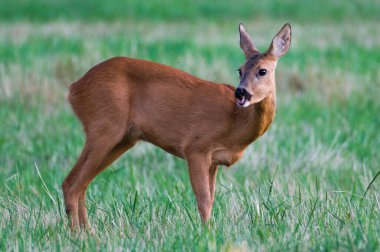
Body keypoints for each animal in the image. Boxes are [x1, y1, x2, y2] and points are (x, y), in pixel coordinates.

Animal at [63, 22, 292, 229]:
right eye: (240, 70)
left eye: (262, 71)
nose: (240, 92)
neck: (234, 122)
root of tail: (74, 89)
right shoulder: (196, 147)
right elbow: (204, 200)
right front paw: (206, 234)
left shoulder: (214, 161)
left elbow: (211, 199)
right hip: (103, 126)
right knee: (71, 182)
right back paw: (77, 235)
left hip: (123, 139)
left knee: (81, 184)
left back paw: (88, 233)